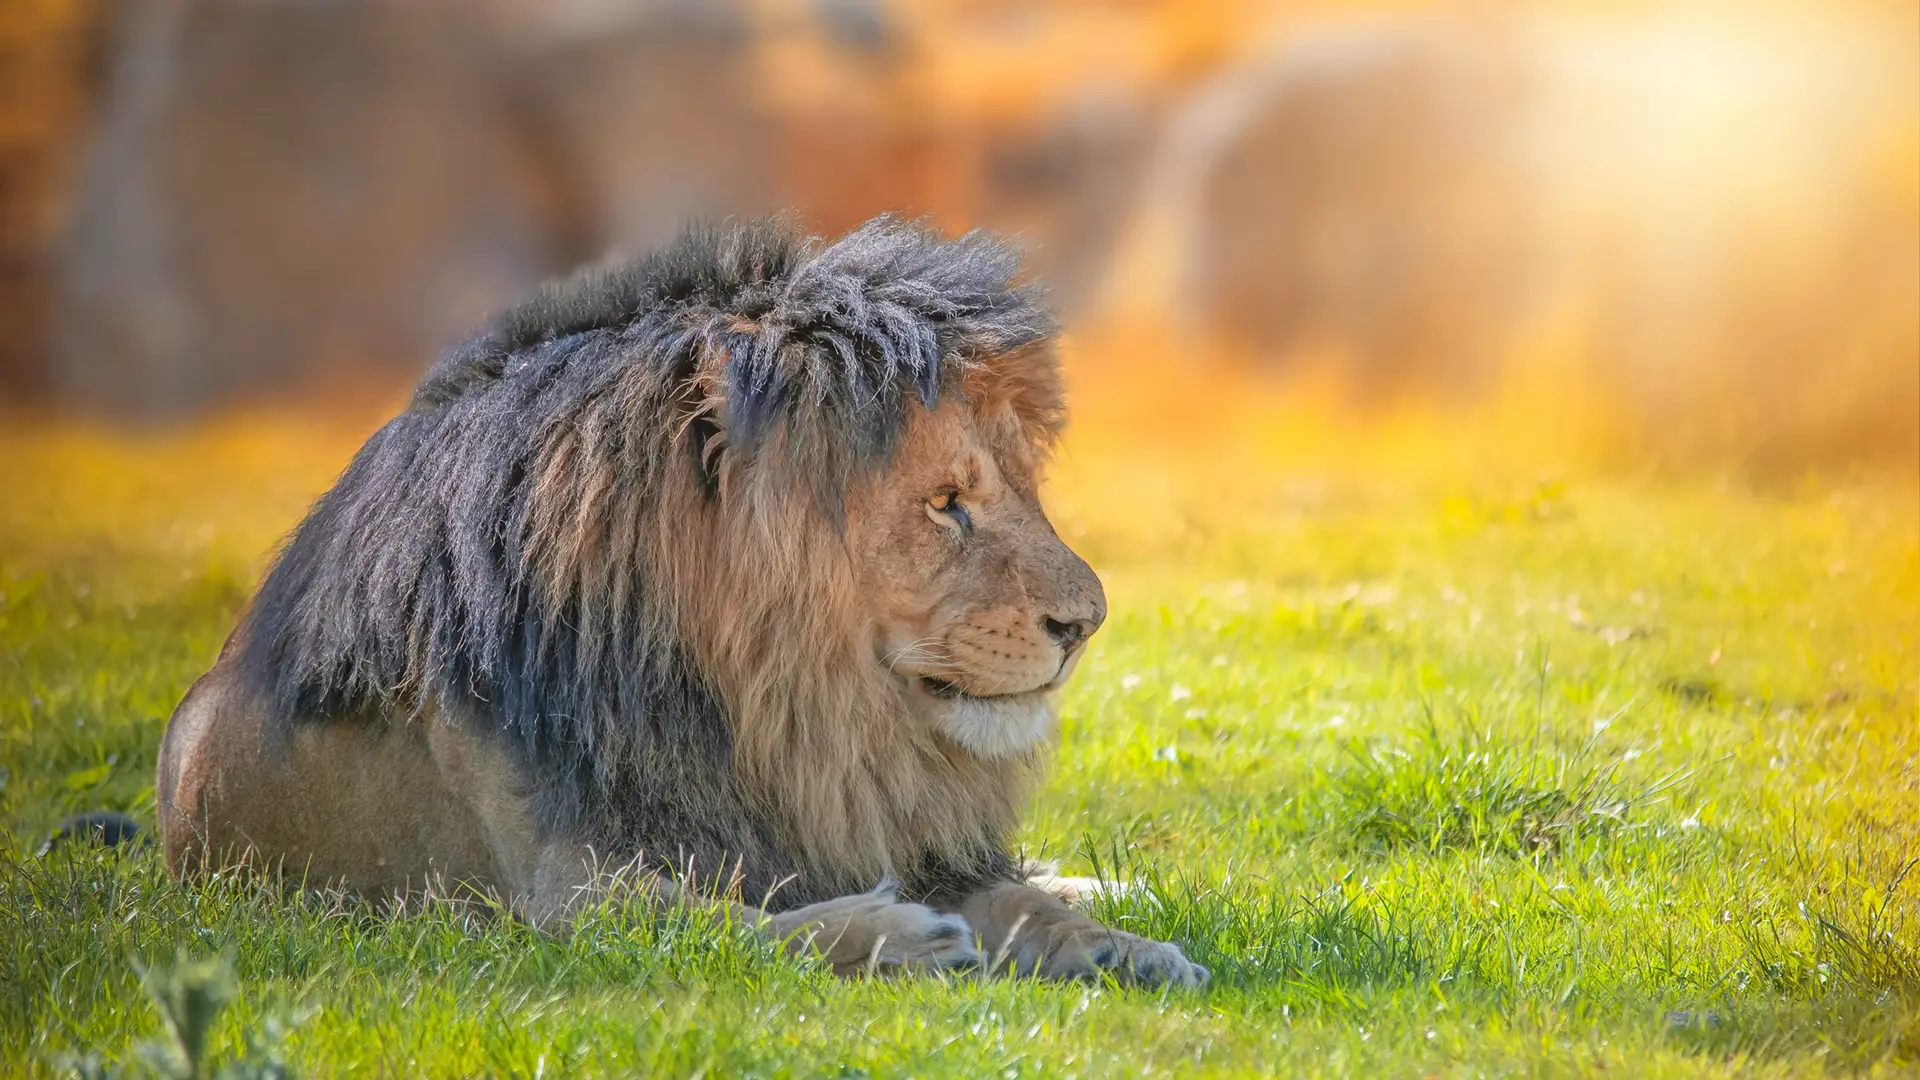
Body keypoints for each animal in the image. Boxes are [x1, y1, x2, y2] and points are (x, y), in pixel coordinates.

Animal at [155, 215, 1208, 987]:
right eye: (946, 504)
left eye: (1020, 488)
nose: (1086, 624)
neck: (782, 717)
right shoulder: (566, 898)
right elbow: (728, 927)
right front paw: (905, 935)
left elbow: (1020, 899)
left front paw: (1122, 947)